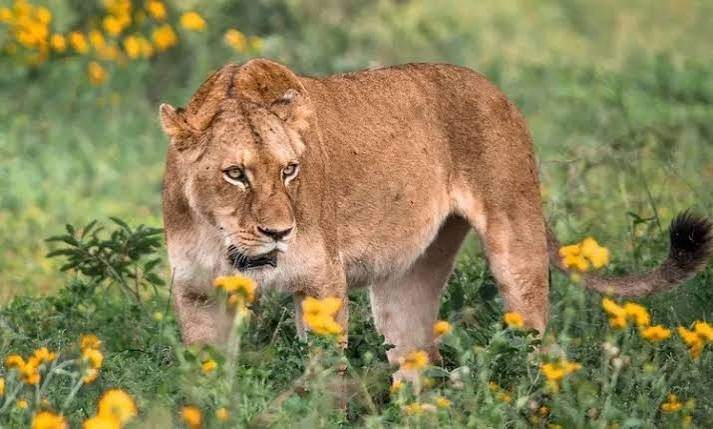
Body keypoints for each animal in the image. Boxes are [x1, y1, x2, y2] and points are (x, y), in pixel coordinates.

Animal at [160, 58, 712, 365]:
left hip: (516, 247)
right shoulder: (196, 292)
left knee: (540, 348)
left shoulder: (321, 281)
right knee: (419, 363)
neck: (225, 242)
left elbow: (323, 377)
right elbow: (207, 380)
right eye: (236, 174)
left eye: (290, 170)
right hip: (407, 280)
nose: (279, 232)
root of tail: (497, 89)